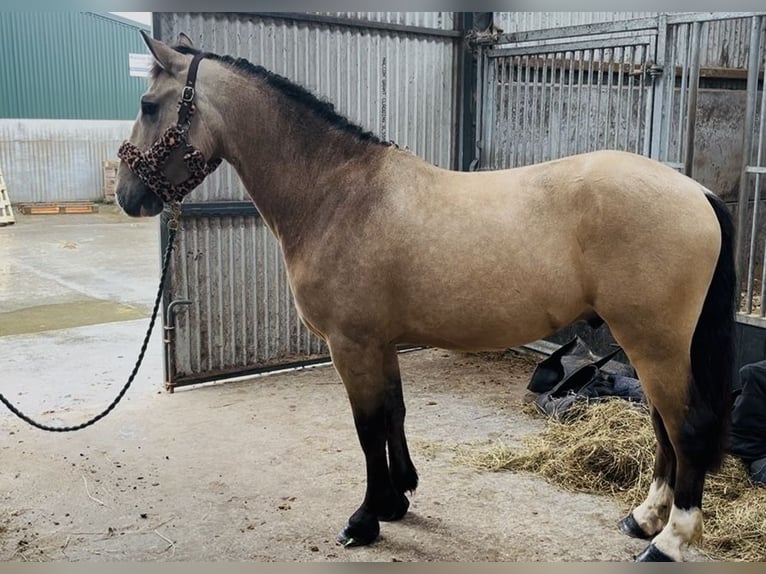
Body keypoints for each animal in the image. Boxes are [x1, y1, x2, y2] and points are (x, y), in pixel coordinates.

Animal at [115, 31, 736, 562]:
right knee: (661, 427)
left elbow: (367, 428)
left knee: (686, 427)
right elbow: (394, 411)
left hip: (654, 343)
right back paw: (643, 518)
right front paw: (398, 499)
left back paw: (669, 541)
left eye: (148, 104)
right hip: (651, 345)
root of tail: (695, 191)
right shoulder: (380, 343)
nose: (126, 196)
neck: (338, 194)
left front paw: (365, 519)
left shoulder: (351, 345)